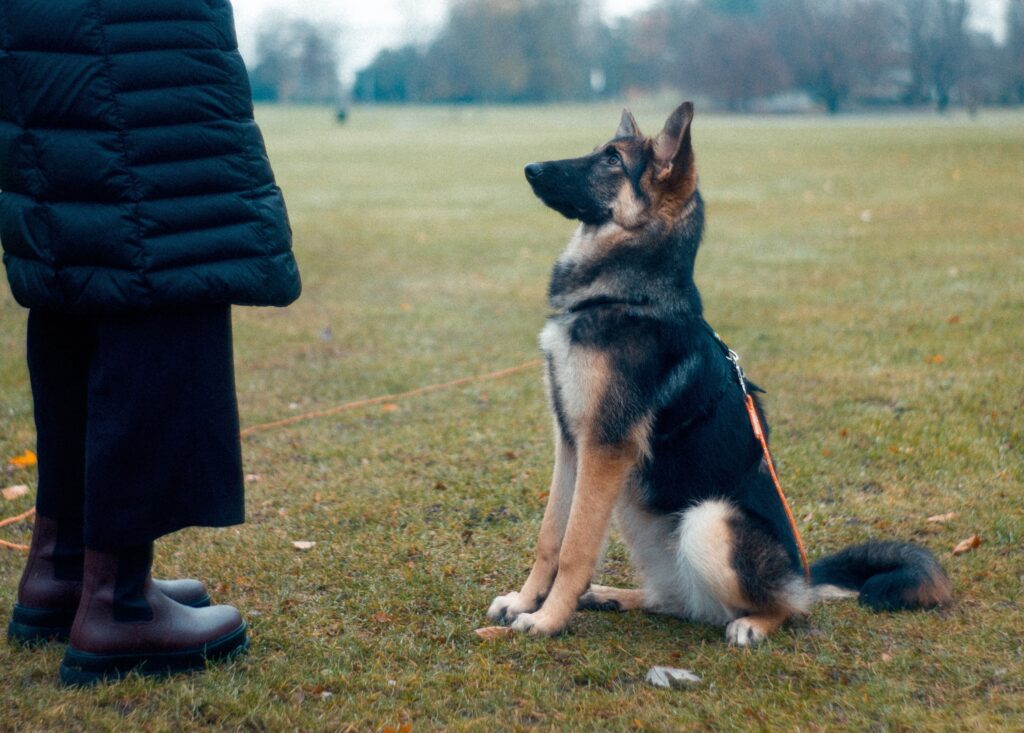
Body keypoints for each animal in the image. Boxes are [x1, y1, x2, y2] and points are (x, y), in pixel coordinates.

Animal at [487, 104, 950, 647]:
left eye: (612, 159)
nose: (530, 169)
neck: (626, 296)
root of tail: (803, 575)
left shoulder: (605, 447)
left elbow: (575, 547)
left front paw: (546, 620)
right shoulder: (571, 443)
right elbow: (550, 537)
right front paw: (525, 602)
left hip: (708, 519)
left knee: (786, 608)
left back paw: (753, 623)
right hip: (636, 507)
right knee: (678, 600)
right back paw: (612, 596)